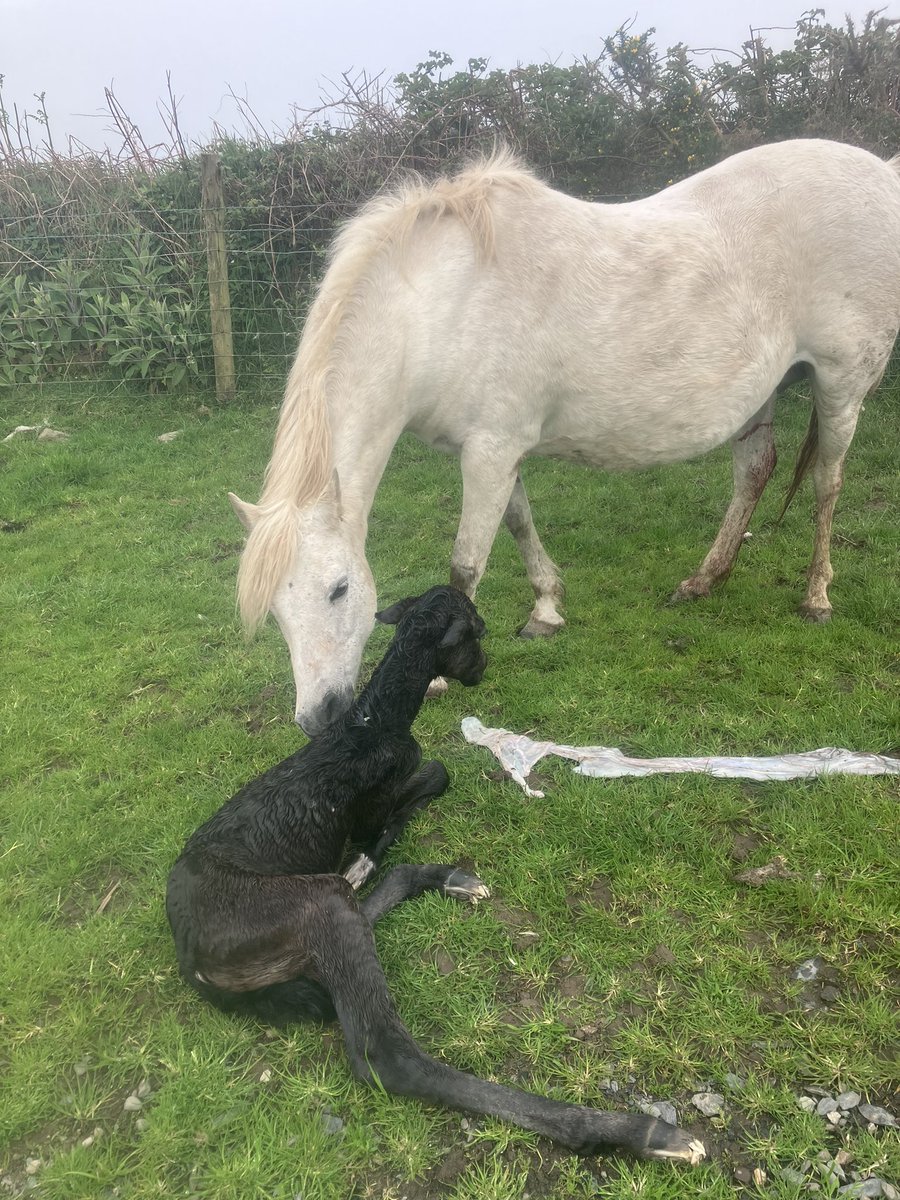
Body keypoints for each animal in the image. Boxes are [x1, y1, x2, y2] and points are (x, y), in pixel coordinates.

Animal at [229, 140, 900, 734]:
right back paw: (702, 581)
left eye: (339, 590)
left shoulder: (491, 450)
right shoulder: (496, 451)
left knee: (827, 483)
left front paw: (440, 673)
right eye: (275, 610)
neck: (446, 303)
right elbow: (519, 523)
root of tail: (883, 173)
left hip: (841, 386)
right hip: (760, 395)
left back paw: (816, 597)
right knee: (756, 471)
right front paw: (546, 610)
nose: (318, 719)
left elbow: (465, 564)